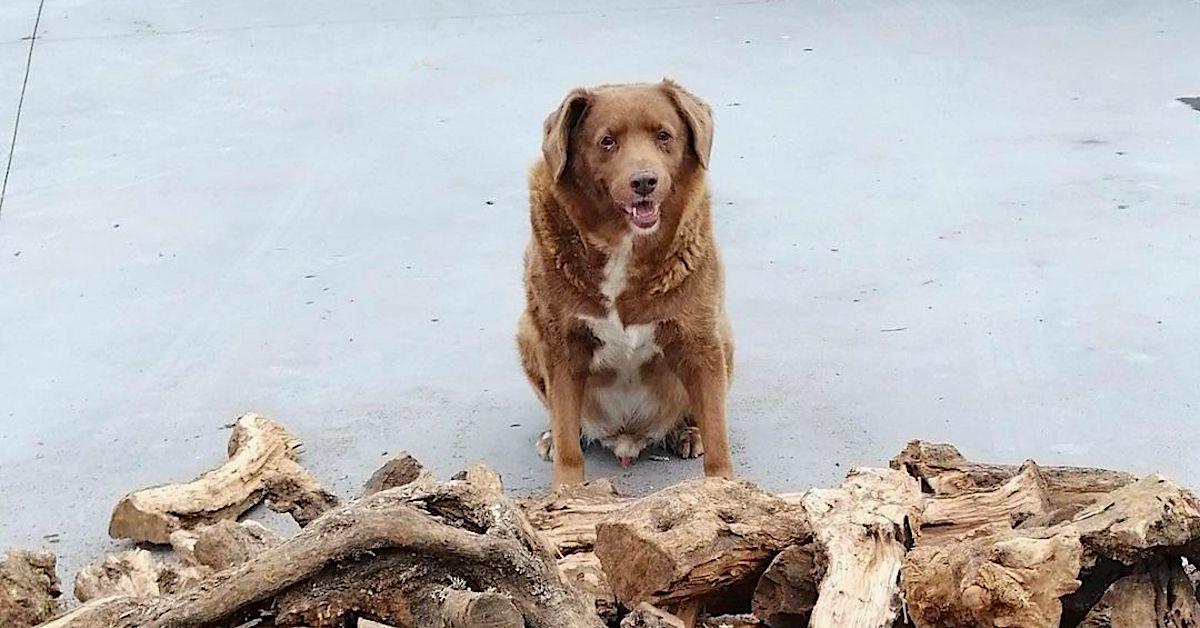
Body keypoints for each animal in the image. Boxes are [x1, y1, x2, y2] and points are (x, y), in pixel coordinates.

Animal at [516, 78, 729, 489]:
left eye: (664, 135)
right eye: (607, 142)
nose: (644, 181)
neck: (623, 246)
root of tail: (627, 436)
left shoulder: (700, 341)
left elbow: (718, 439)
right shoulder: (561, 345)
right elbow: (568, 444)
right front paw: (567, 491)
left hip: (724, 337)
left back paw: (686, 432)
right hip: (527, 333)